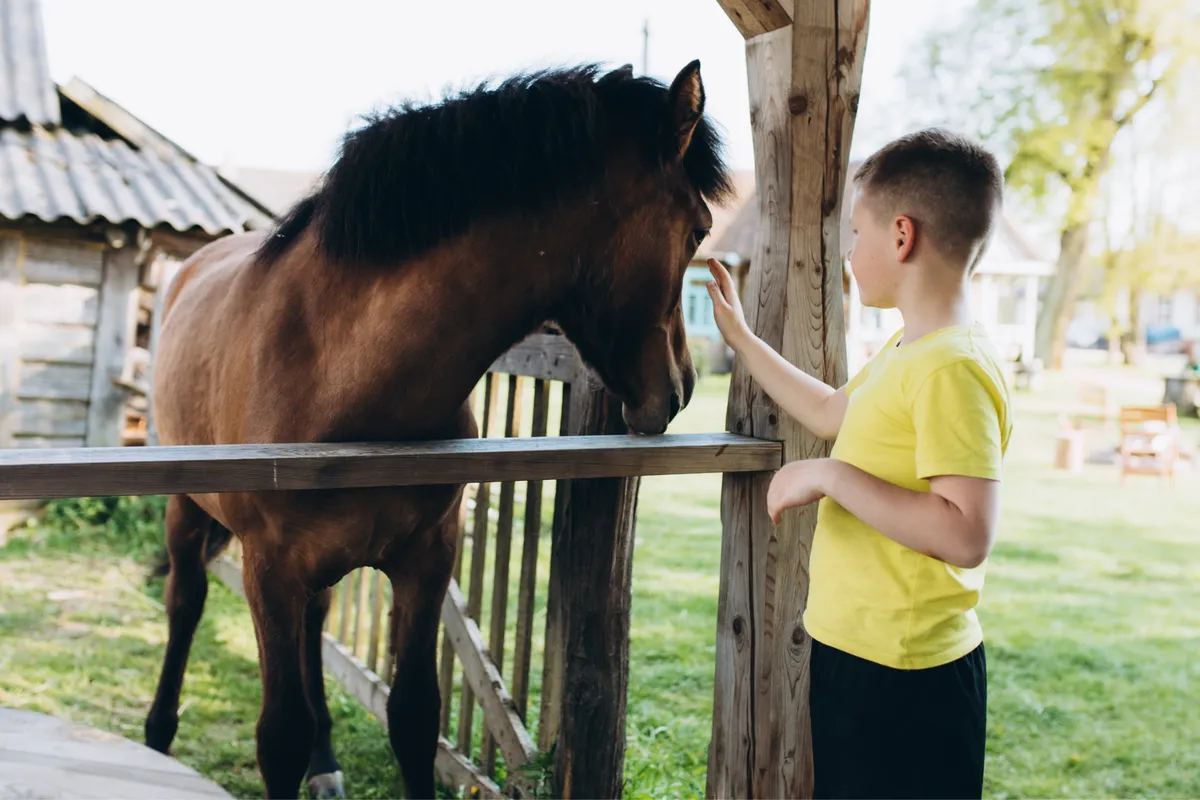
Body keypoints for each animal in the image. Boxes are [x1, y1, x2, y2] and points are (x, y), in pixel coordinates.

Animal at [143, 60, 732, 799]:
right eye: (698, 231)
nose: (680, 387)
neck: (341, 371)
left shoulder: (427, 558)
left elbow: (415, 716)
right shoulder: (268, 571)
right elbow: (278, 736)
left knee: (313, 628)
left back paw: (325, 761)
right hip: (187, 510)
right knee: (185, 602)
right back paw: (157, 734)